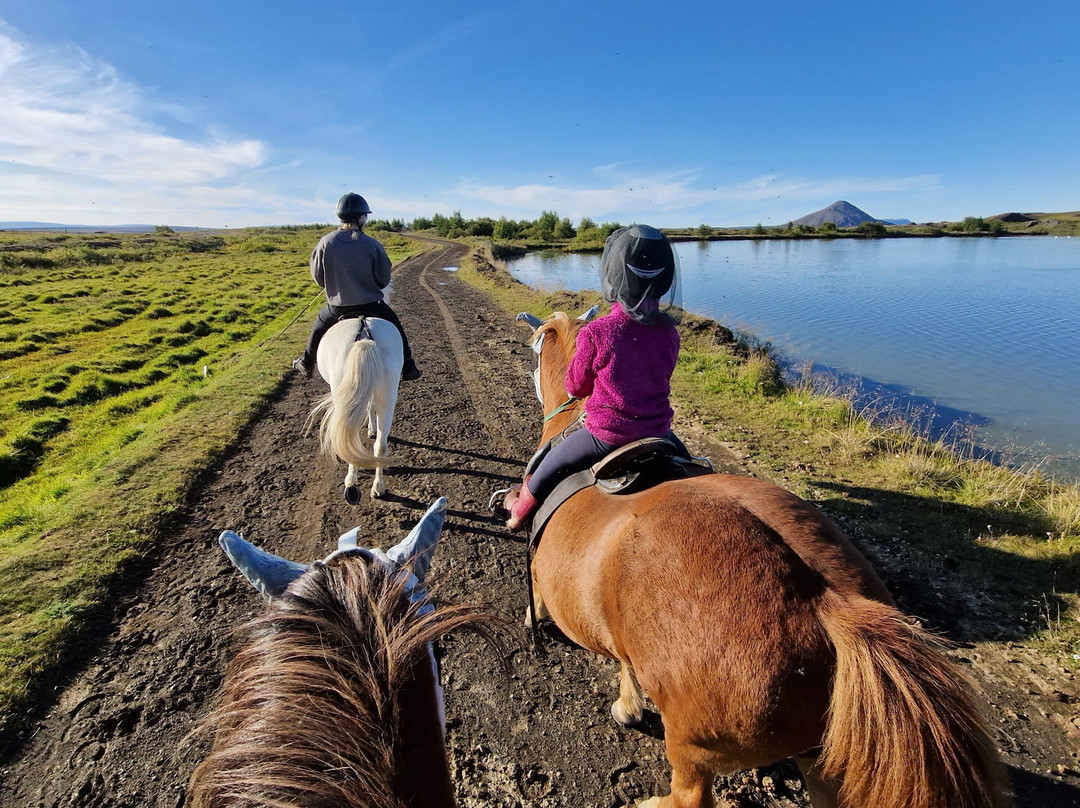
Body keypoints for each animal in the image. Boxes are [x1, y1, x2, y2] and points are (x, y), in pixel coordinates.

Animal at [309, 316, 403, 504]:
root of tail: (364, 335)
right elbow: (370, 406)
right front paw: (372, 430)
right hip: (388, 393)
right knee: (380, 445)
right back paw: (378, 487)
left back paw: (351, 485)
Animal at [513, 310, 1008, 808]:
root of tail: (829, 607)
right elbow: (625, 661)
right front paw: (629, 704)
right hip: (825, 761)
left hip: (693, 749)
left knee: (689, 795)